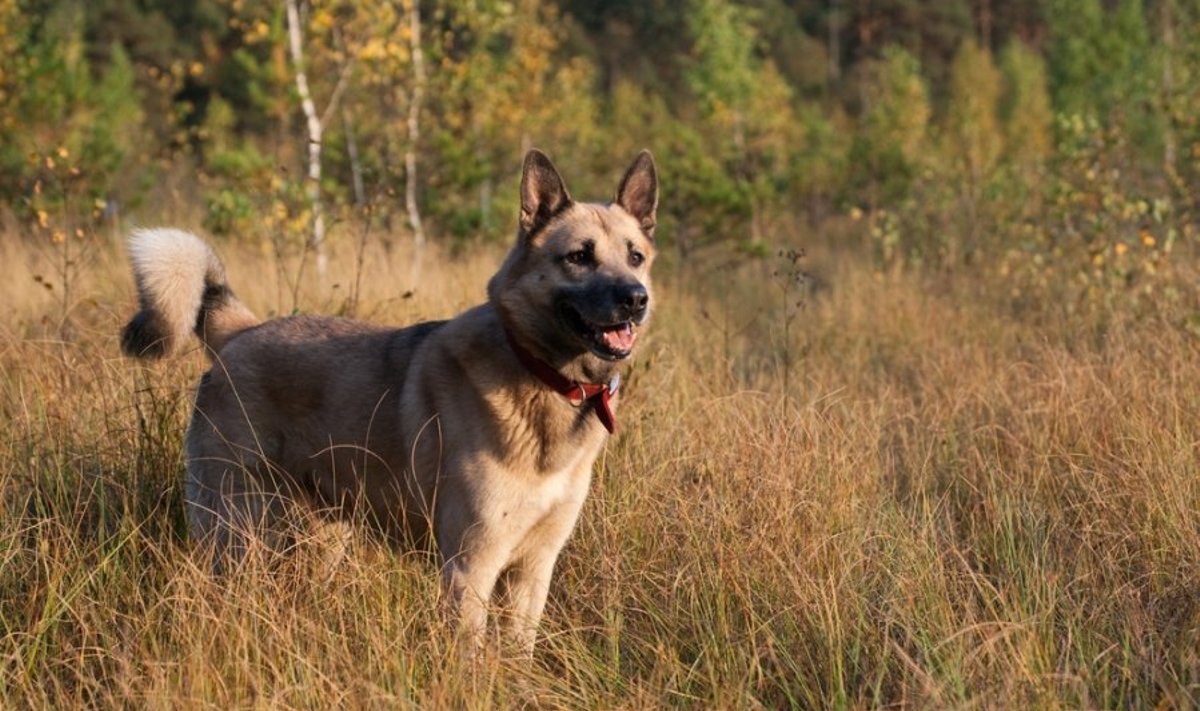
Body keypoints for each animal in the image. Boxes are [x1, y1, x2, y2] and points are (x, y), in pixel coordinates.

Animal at [121, 150, 662, 648]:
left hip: (323, 533)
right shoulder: (471, 568)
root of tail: (240, 332)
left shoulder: (533, 572)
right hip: (235, 532)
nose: (635, 299)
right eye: (579, 257)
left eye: (635, 256)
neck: (539, 372)